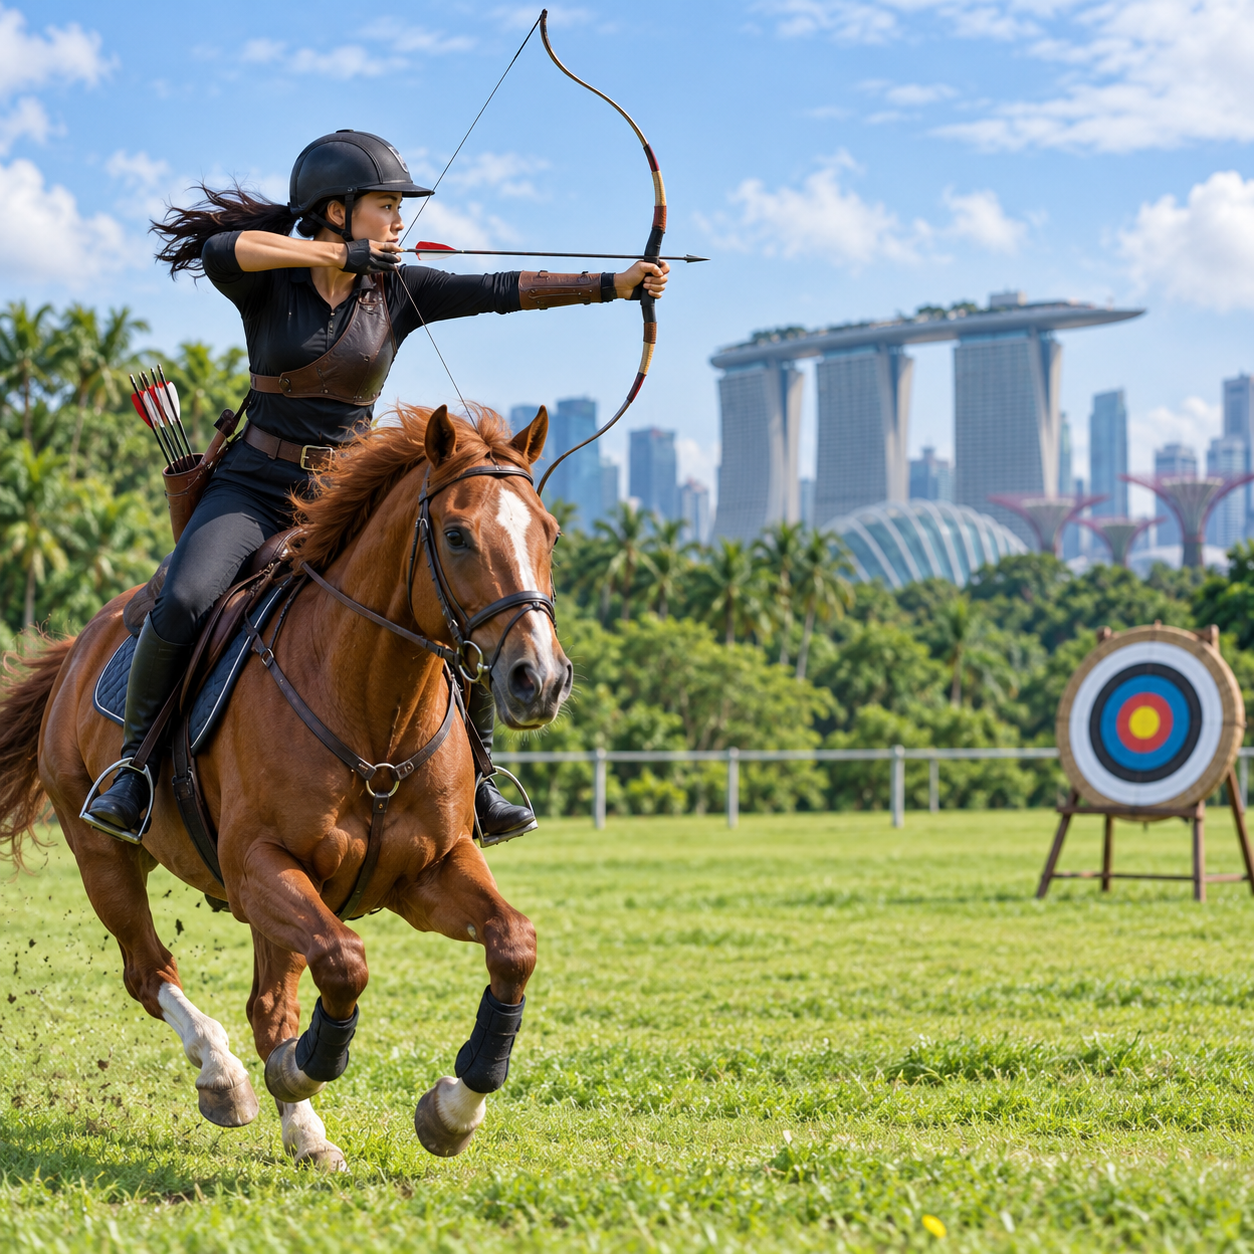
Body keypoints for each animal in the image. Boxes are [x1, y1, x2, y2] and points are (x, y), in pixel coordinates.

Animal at [0, 403, 572, 1171]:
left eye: (549, 531)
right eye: (456, 535)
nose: (540, 678)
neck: (373, 716)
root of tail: (76, 649)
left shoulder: (427, 872)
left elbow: (513, 944)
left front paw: (454, 1109)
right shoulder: (258, 868)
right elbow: (345, 963)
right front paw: (296, 1072)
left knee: (265, 1002)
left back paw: (299, 1128)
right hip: (105, 857)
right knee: (152, 973)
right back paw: (228, 1078)